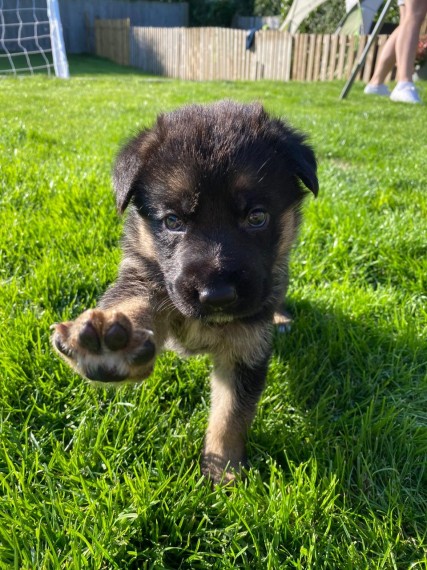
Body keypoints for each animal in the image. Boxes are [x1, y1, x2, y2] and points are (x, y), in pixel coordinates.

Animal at [51, 100, 318, 482]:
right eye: (172, 221)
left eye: (257, 217)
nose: (217, 296)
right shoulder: (147, 279)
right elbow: (130, 303)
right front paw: (108, 342)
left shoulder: (245, 348)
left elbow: (230, 416)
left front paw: (224, 475)